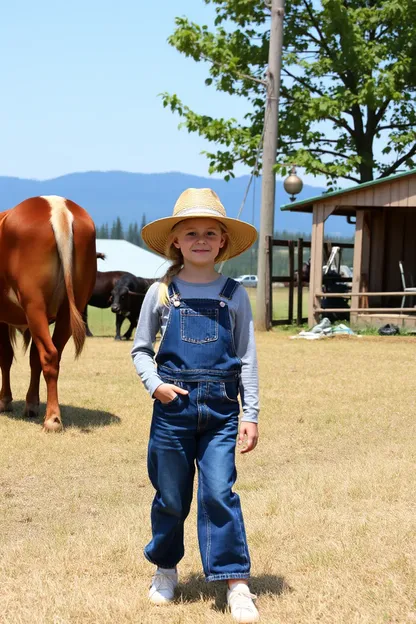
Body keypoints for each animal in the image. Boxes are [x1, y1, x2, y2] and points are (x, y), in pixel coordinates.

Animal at [0, 195, 96, 428]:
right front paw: (31, 402)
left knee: (49, 354)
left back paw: (52, 419)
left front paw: (4, 400)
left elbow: (5, 356)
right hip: (71, 309)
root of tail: (57, 206)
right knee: (50, 355)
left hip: (34, 305)